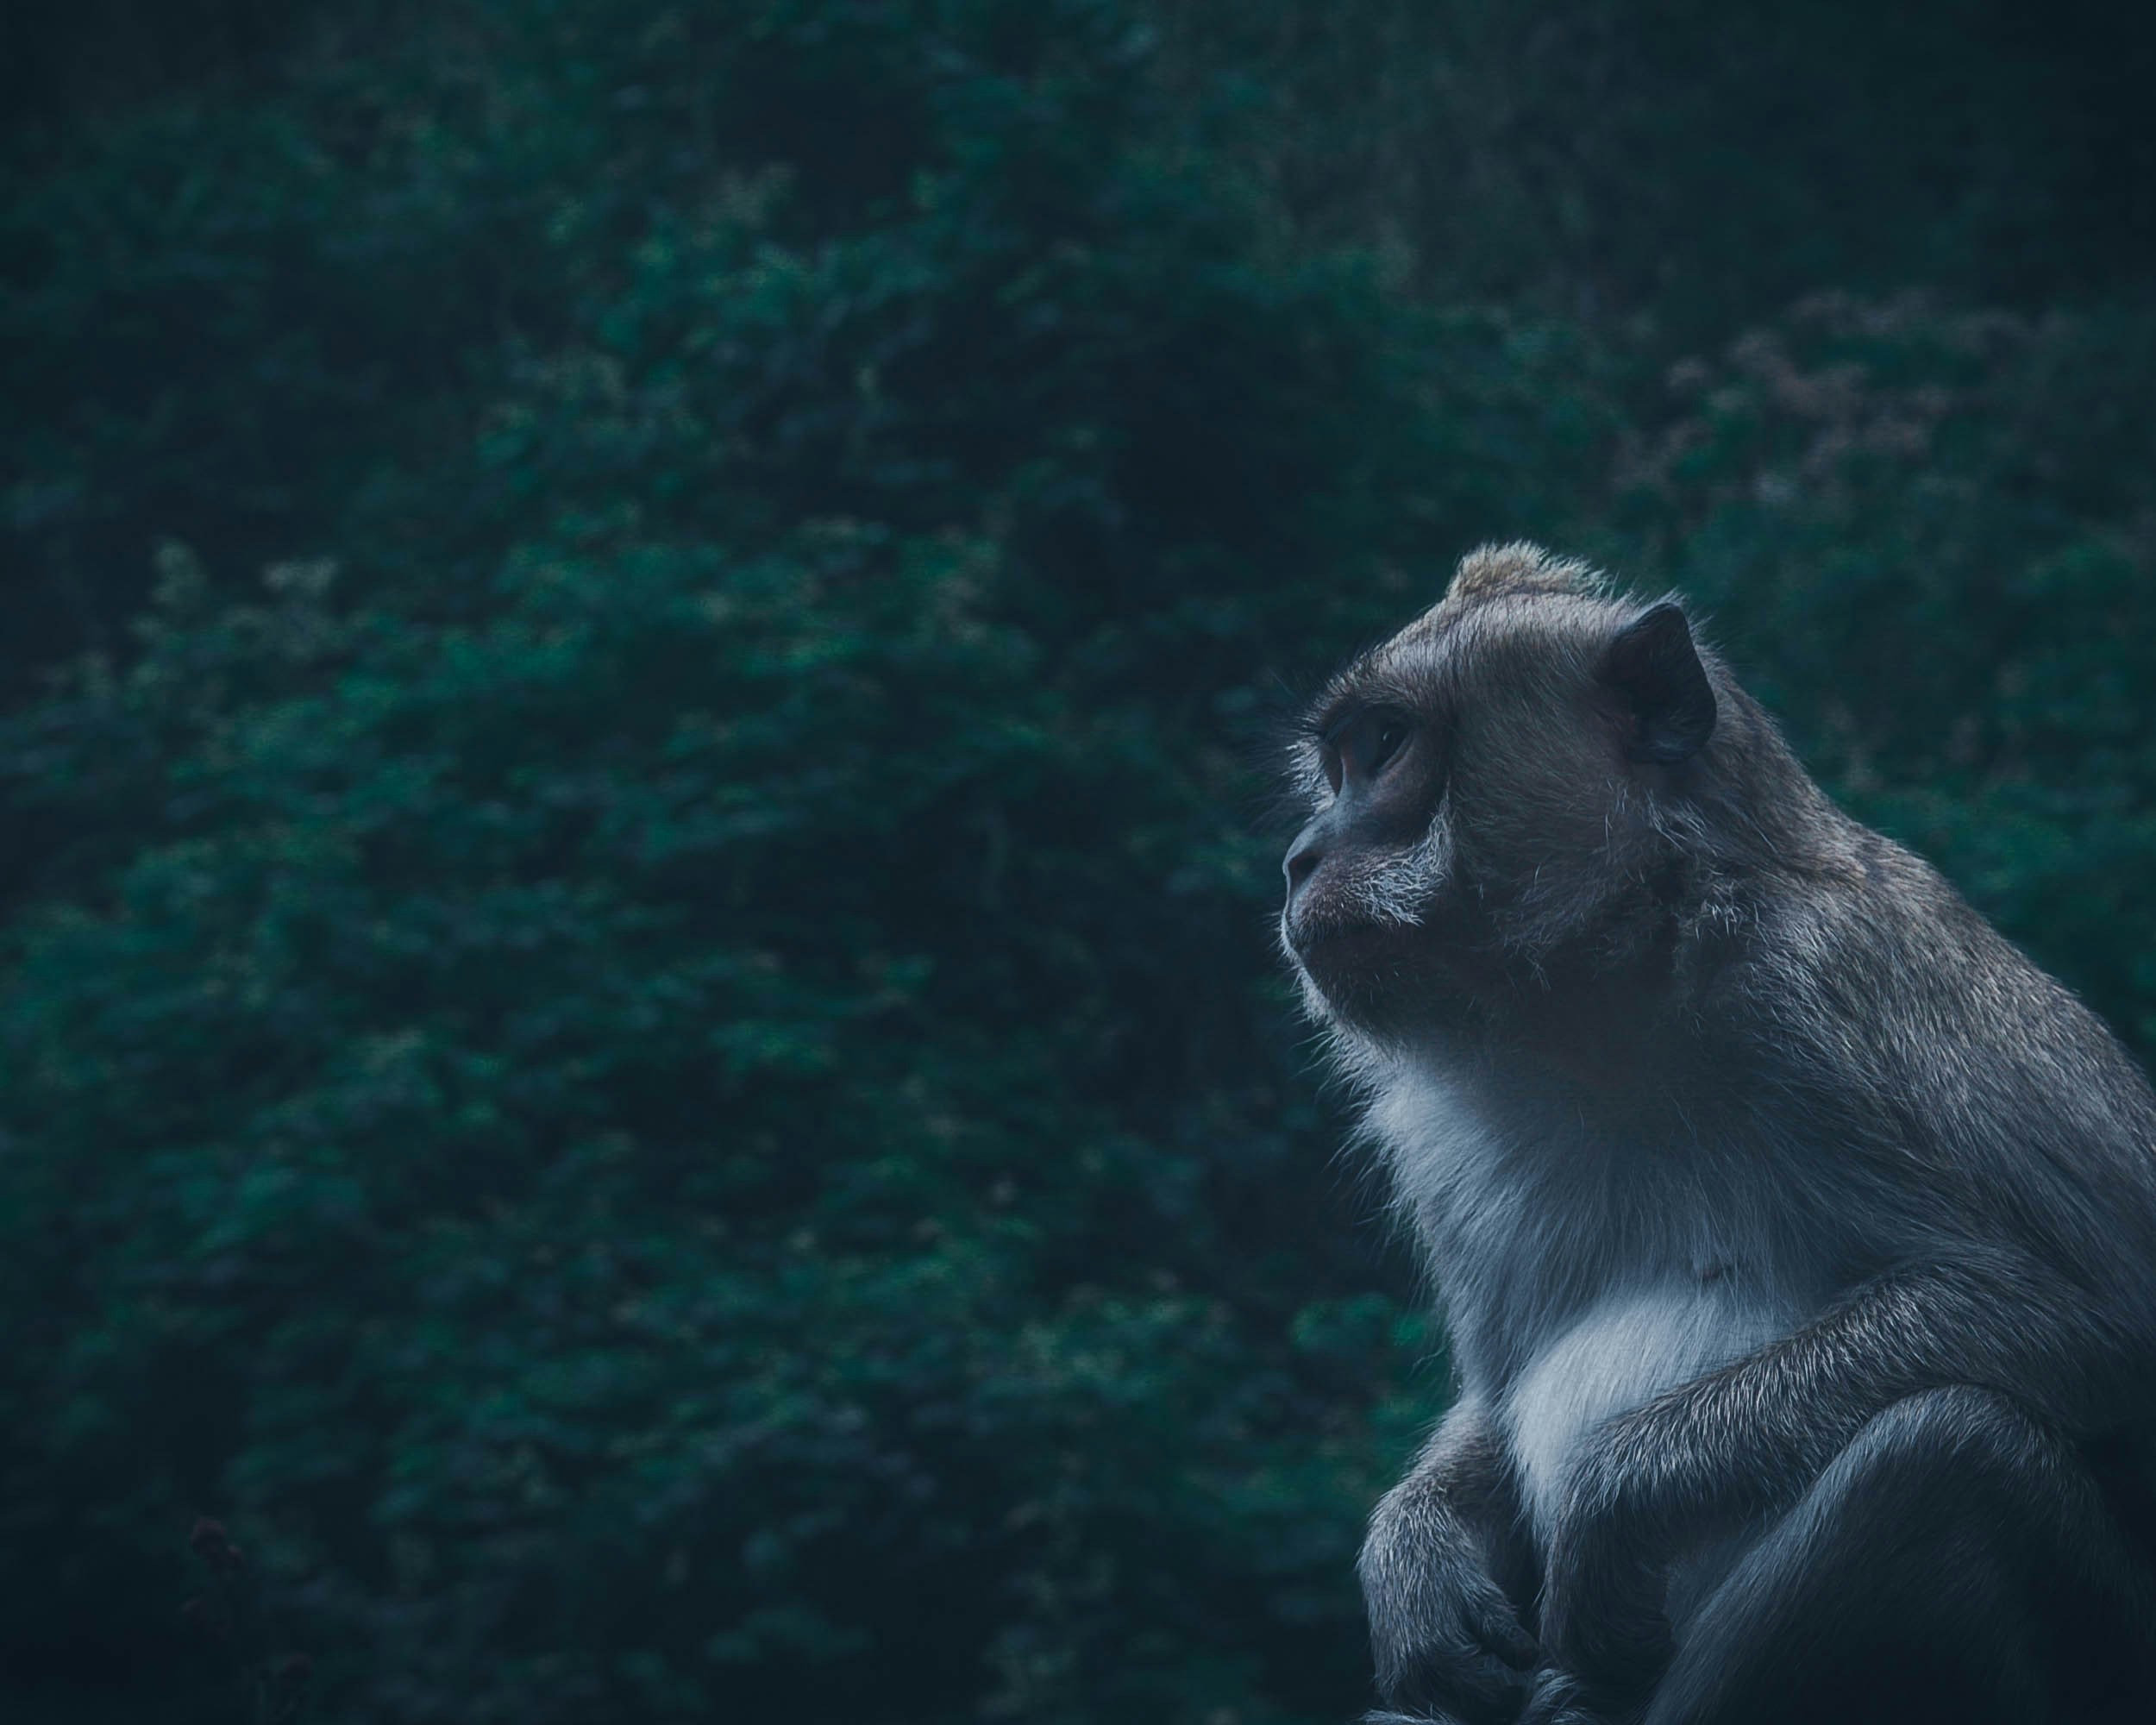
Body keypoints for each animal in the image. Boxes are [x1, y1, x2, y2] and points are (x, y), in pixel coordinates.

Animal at [1277, 544, 2156, 1725]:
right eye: (1336, 764)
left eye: (1382, 745)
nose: (1299, 855)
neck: (1607, 994)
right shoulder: (1436, 1140)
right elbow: (1497, 1409)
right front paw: (1414, 1557)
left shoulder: (1827, 989)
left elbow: (2099, 1310)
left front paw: (1611, 1505)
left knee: (1940, 1455)